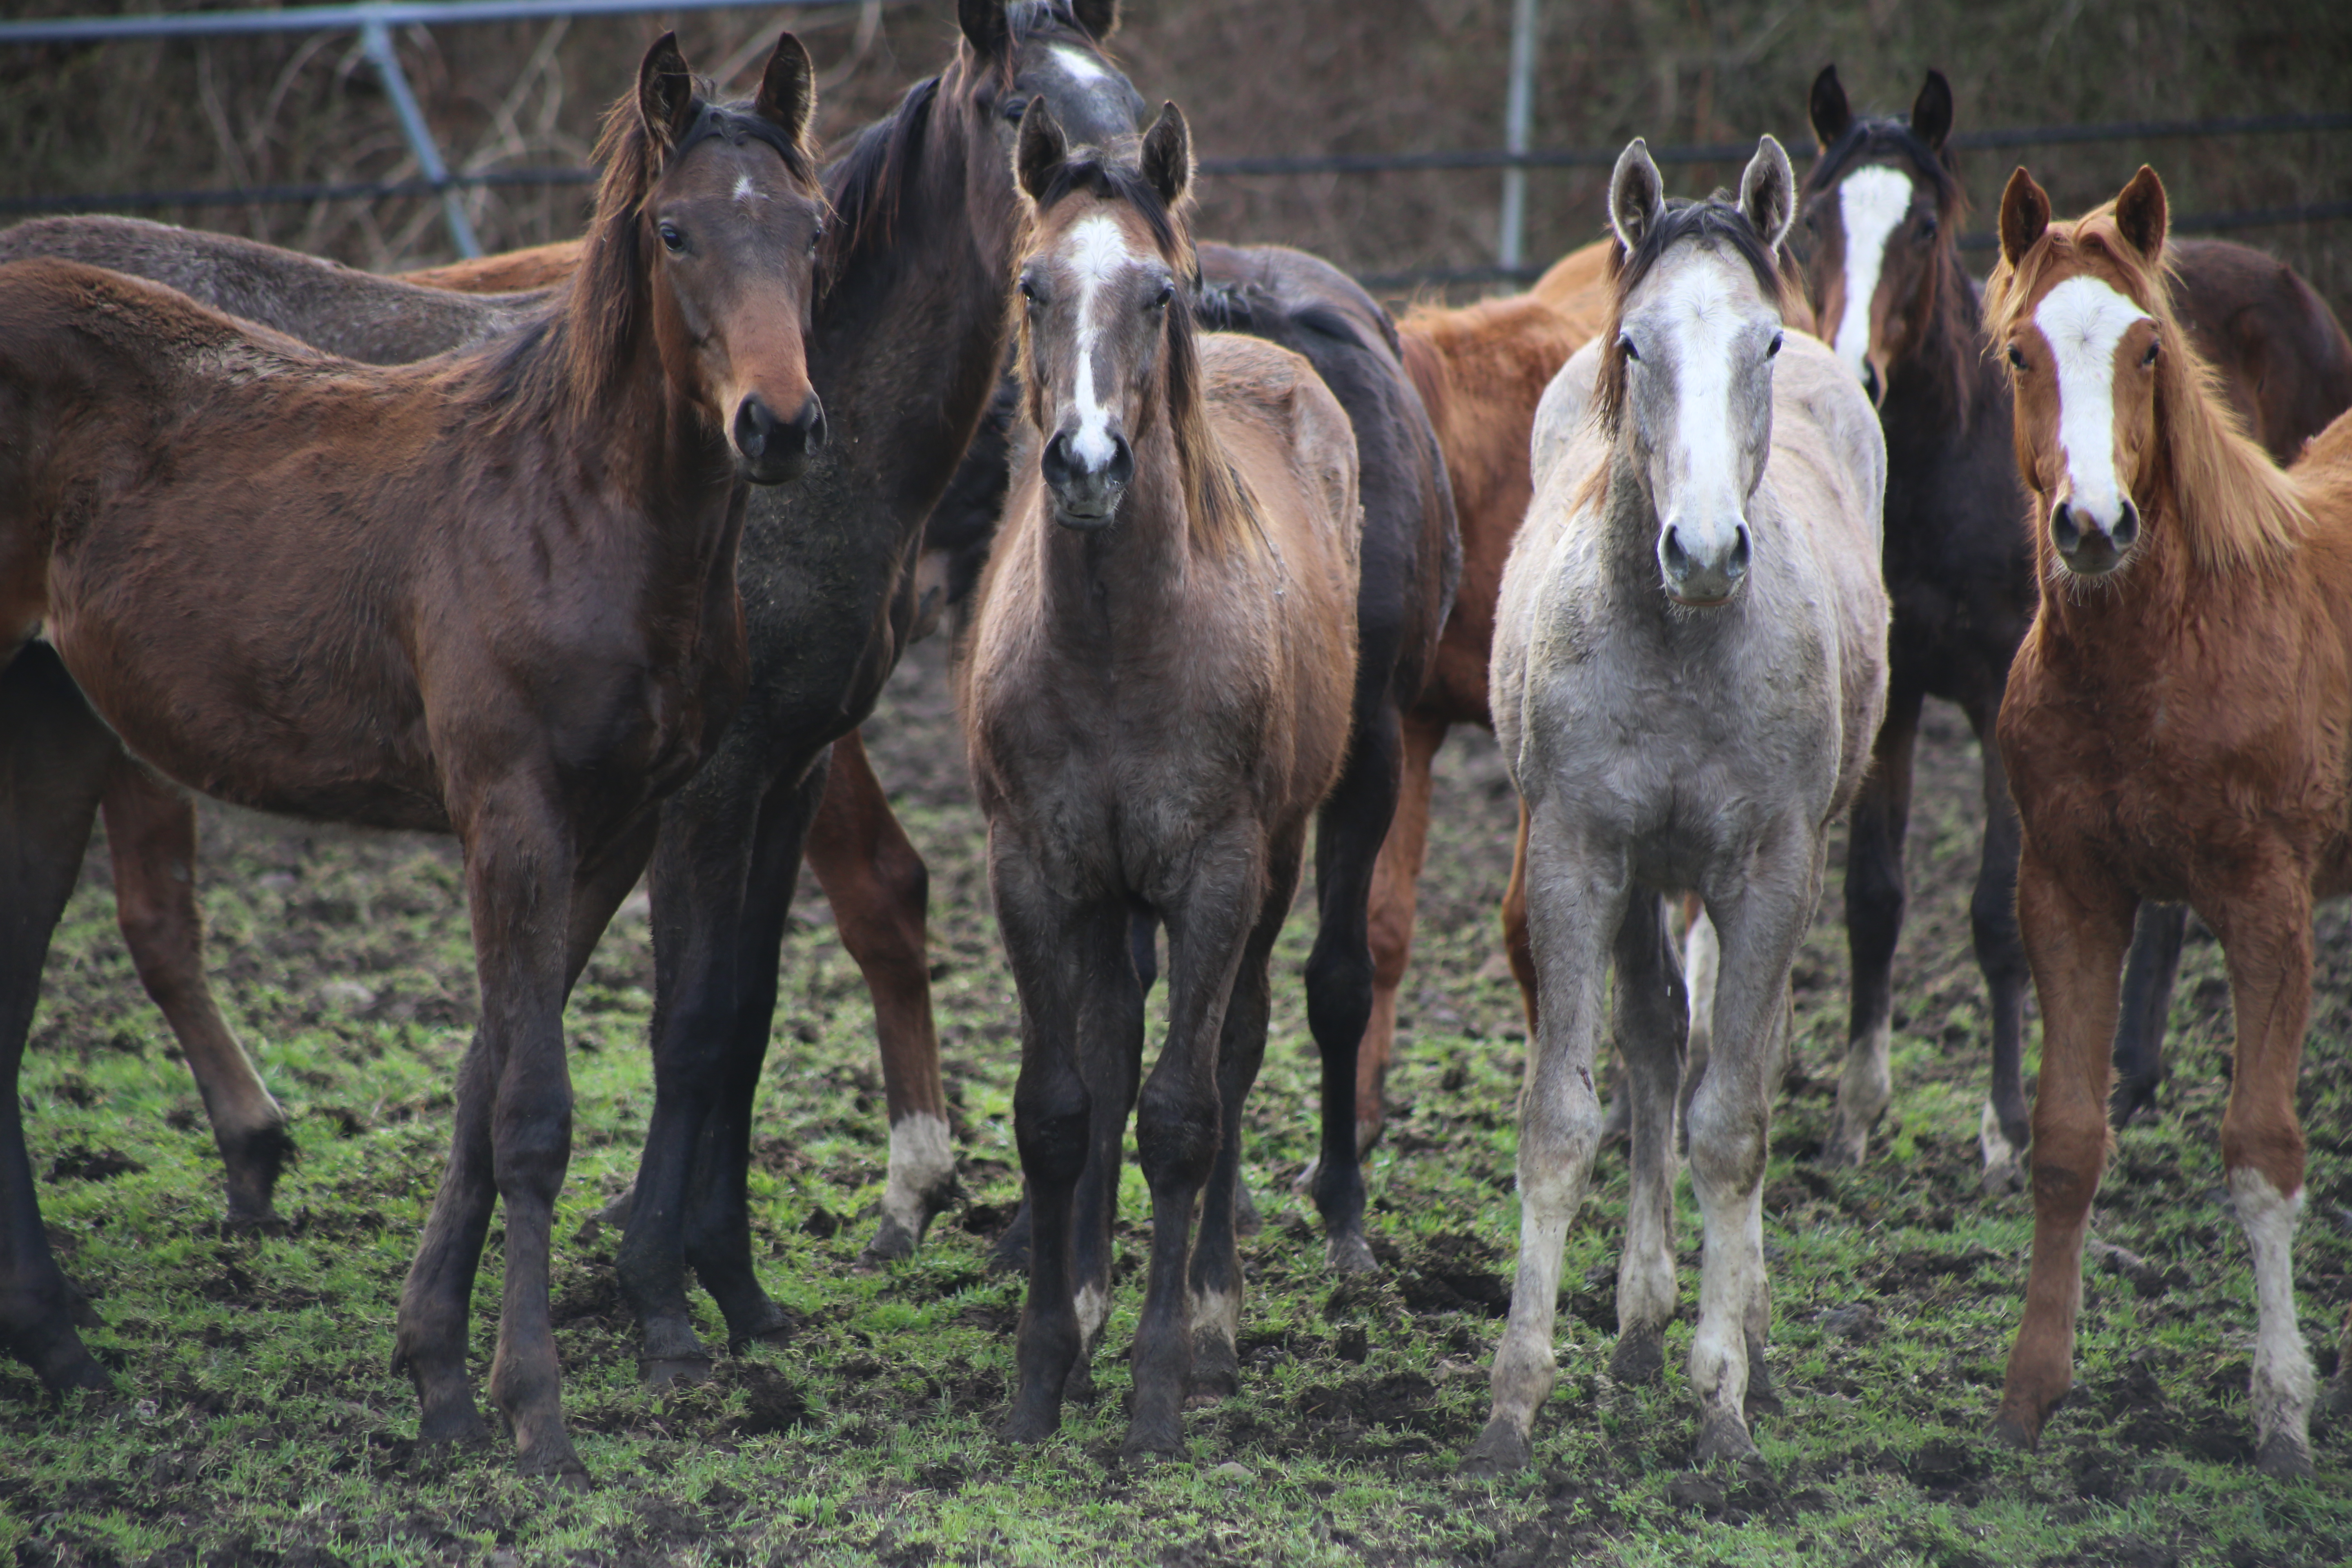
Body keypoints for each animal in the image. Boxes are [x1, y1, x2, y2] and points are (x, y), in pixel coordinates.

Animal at [0, 36, 828, 1486]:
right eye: (674, 231)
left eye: (813, 228)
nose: (777, 425)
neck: (570, 508)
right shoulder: (513, 812)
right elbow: (533, 1113)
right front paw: (536, 1414)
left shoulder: (611, 827)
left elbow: (484, 1080)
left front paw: (438, 1375)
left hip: (52, 726)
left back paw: (59, 1348)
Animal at [960, 101, 1364, 1457]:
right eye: (1033, 284)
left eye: (1156, 291)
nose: (1086, 463)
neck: (1117, 648)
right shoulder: (1034, 872)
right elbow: (1058, 1105)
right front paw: (1042, 1373)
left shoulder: (1216, 874)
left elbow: (1185, 1116)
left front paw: (1157, 1385)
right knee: (1111, 1042)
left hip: (1278, 861)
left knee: (1230, 1049)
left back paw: (1214, 1318)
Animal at [1468, 135, 1891, 1476]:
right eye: (1635, 343)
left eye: (1760, 344)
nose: (1703, 550)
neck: (1683, 645)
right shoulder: (1580, 854)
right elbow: (1566, 1117)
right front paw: (1513, 1402)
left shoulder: (1765, 869)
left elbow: (1733, 1126)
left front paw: (1725, 1405)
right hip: (1647, 871)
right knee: (1658, 1043)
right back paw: (1640, 1321)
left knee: (1724, 1064)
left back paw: (1736, 1327)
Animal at [1797, 67, 2352, 1185]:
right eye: (1813, 223)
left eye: (1923, 226)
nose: (1854, 377)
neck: (1939, 466)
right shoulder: (1896, 696)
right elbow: (1872, 898)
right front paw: (1853, 1115)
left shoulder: (1989, 698)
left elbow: (1990, 917)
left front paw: (2004, 1128)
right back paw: (2130, 1081)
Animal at [1985, 172, 2352, 1486]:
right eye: (2019, 352)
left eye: (2147, 349)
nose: (2094, 525)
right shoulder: (2068, 893)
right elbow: (2064, 1142)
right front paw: (2028, 1398)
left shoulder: (2266, 904)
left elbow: (2259, 1150)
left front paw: (2283, 1413)